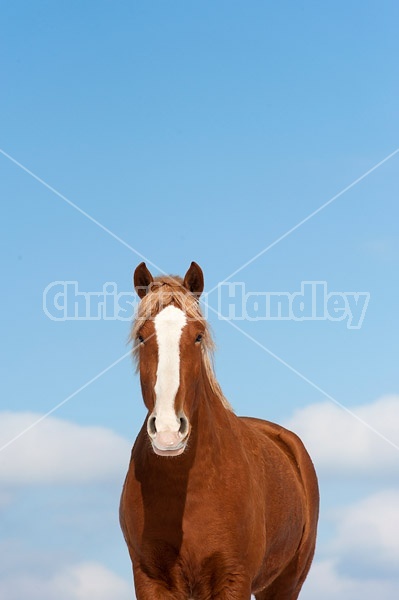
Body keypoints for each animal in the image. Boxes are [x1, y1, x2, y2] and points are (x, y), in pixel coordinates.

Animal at [120, 262, 320, 600]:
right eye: (141, 336)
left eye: (198, 336)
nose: (168, 432)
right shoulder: (150, 579)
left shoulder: (232, 578)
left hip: (285, 583)